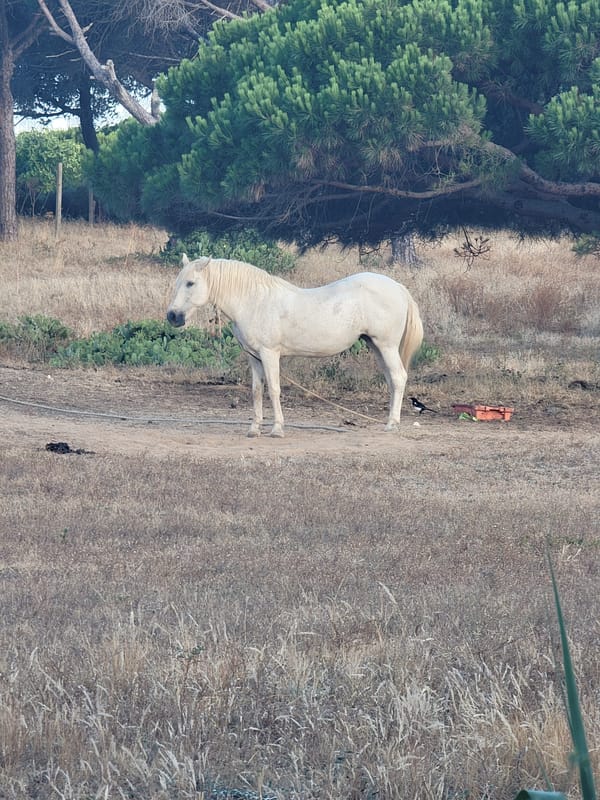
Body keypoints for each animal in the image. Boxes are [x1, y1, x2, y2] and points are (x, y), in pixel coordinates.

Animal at [167, 254, 423, 438]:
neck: (254, 301)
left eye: (190, 283)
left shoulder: (270, 354)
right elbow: (256, 390)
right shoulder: (254, 357)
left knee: (398, 377)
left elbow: (274, 389)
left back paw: (392, 424)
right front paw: (254, 429)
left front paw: (277, 429)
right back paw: (389, 420)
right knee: (391, 380)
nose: (173, 316)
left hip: (386, 346)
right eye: (178, 282)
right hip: (376, 346)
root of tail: (398, 287)